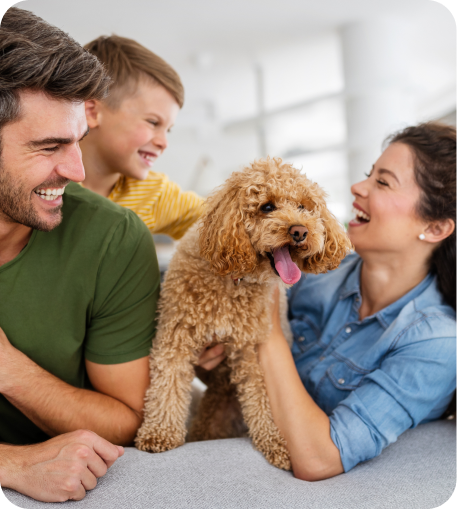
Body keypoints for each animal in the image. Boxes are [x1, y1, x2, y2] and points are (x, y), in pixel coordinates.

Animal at [134, 158, 350, 468]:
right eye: (267, 207)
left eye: (304, 207)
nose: (300, 231)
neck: (234, 280)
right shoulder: (176, 337)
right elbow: (167, 385)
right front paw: (159, 433)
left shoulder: (251, 352)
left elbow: (261, 399)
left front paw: (274, 443)